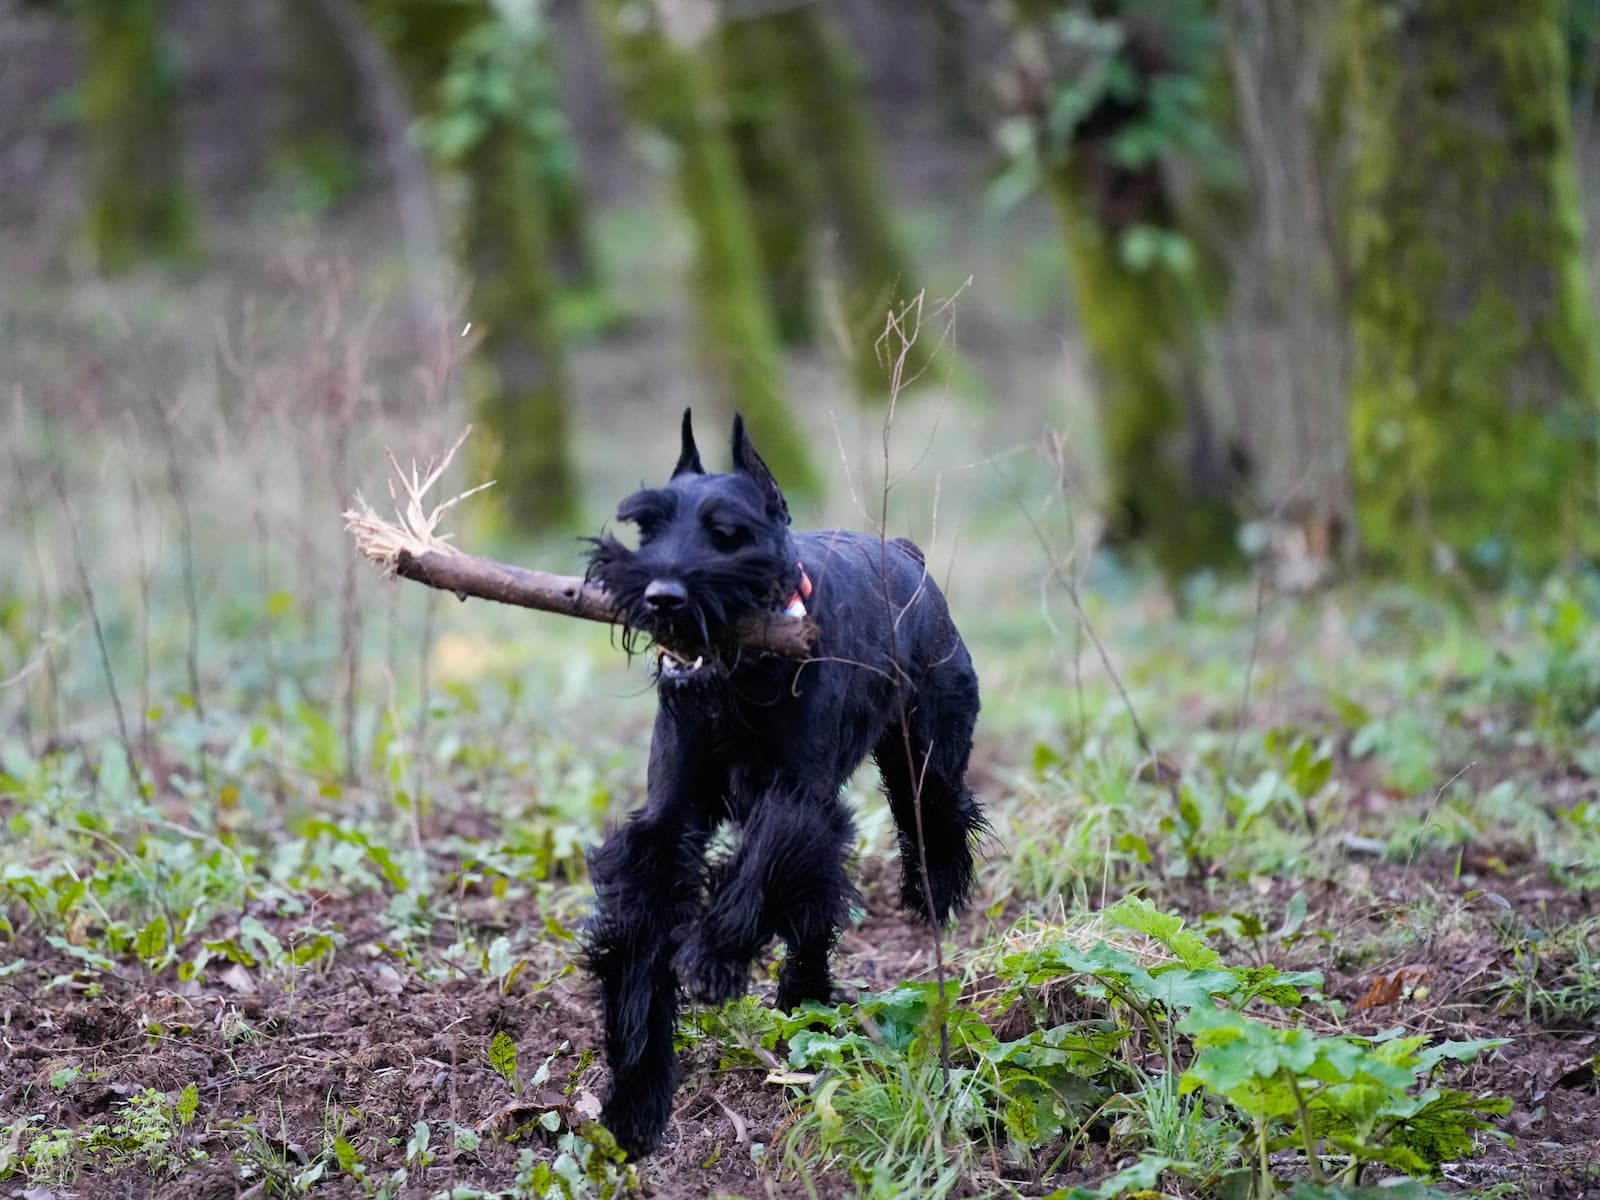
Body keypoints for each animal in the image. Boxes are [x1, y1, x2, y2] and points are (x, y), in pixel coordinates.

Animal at [585, 412, 985, 1158]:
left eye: (729, 533)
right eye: (648, 526)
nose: (661, 597)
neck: (738, 680)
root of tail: (908, 556)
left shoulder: (798, 800)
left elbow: (762, 866)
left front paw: (714, 956)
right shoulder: (667, 820)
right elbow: (643, 940)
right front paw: (636, 1098)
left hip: (926, 752)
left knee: (937, 816)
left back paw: (930, 897)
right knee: (818, 903)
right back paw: (807, 997)